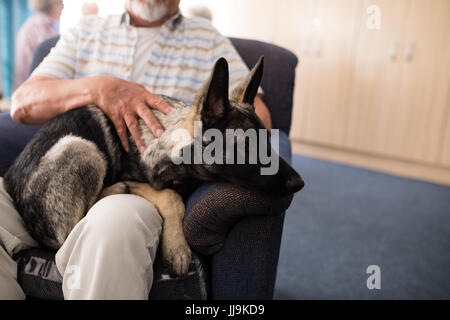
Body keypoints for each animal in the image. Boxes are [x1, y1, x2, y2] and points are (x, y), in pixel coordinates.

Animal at [3, 57, 304, 276]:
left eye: (268, 143)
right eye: (246, 148)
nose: (300, 184)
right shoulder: (144, 178)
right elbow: (171, 197)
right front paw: (178, 247)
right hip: (81, 148)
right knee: (71, 230)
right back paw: (116, 189)